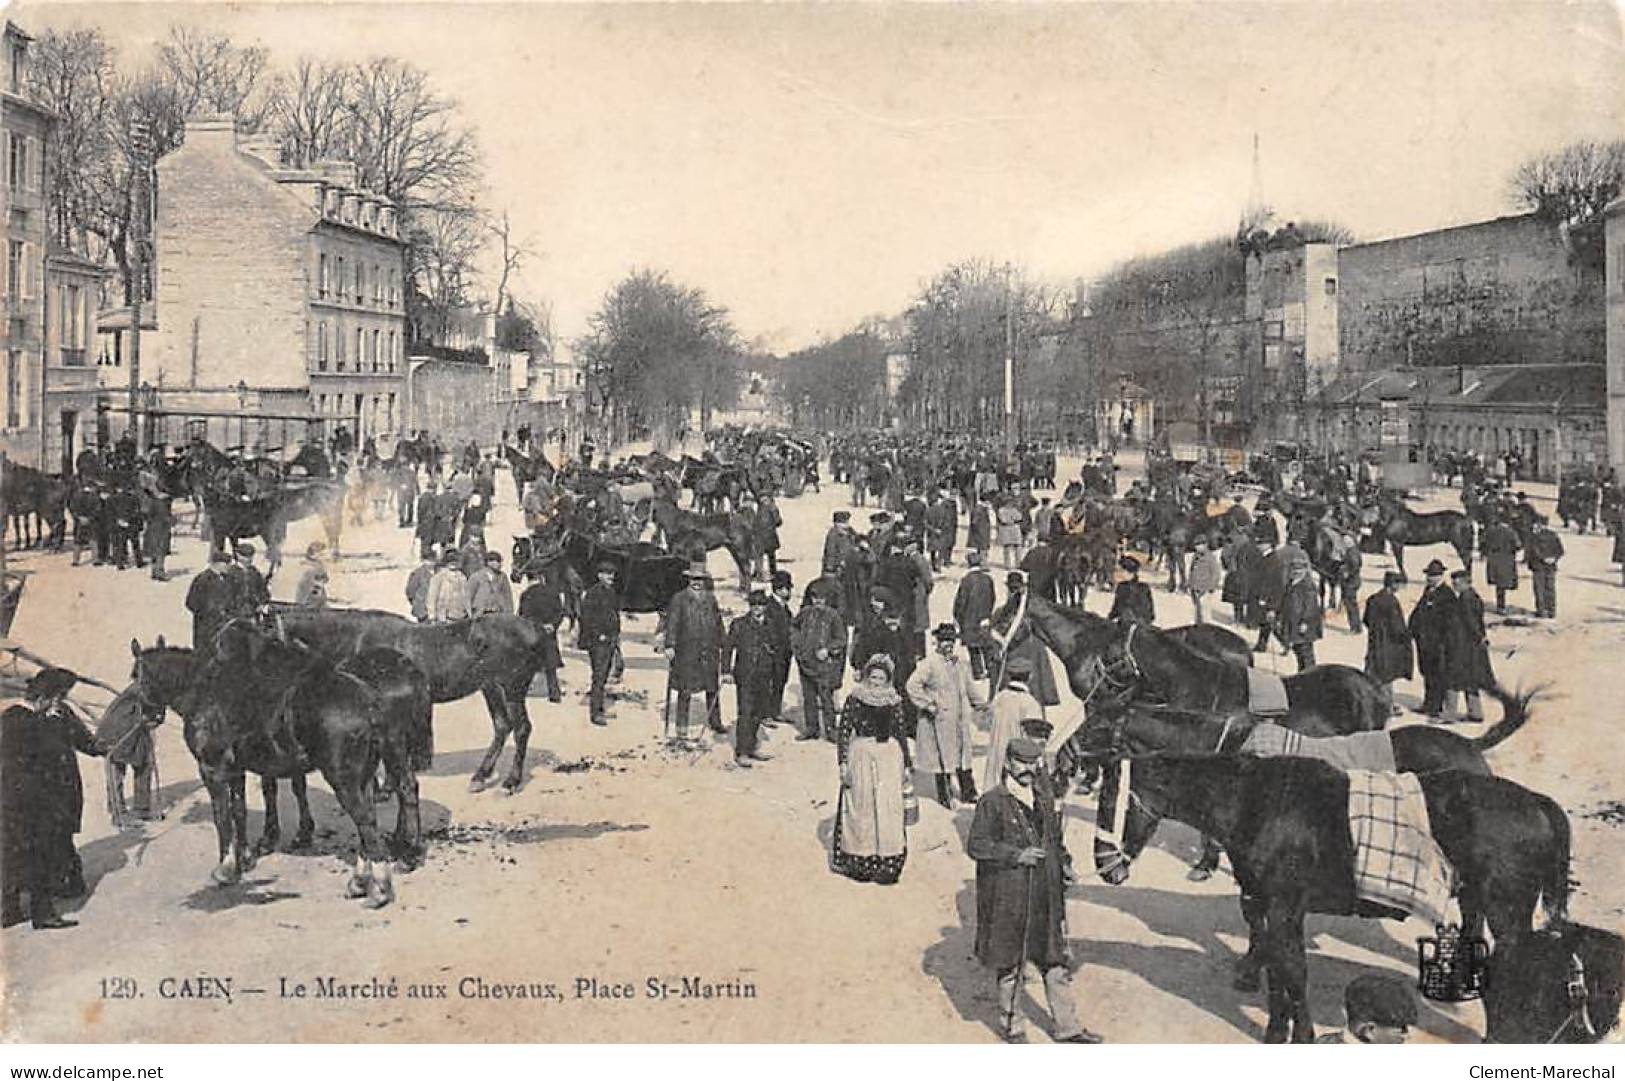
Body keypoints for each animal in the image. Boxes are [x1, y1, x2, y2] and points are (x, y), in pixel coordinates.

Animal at [130, 624, 432, 903]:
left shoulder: (212, 770)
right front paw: (245, 858)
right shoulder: (236, 770)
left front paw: (226, 868)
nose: (147, 717)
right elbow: (239, 811)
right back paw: (366, 876)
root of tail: (370, 700)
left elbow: (222, 817)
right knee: (378, 811)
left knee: (370, 817)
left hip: (346, 779)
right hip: (367, 775)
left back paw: (382, 885)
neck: (206, 691)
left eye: (135, 676)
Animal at [266, 607, 546, 793]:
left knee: (521, 728)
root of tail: (534, 627)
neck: (359, 638)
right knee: (502, 726)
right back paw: (480, 776)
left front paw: (386, 788)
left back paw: (511, 781)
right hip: (491, 688)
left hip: (511, 688)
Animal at [1085, 747, 1566, 1040]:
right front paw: (1276, 1031)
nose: (1105, 865)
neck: (1254, 802)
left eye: (1112, 803)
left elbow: (1294, 973)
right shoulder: (1265, 905)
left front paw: (1301, 1035)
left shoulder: (1284, 908)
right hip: (1473, 901)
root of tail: (1538, 802)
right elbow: (1277, 971)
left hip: (1507, 913)